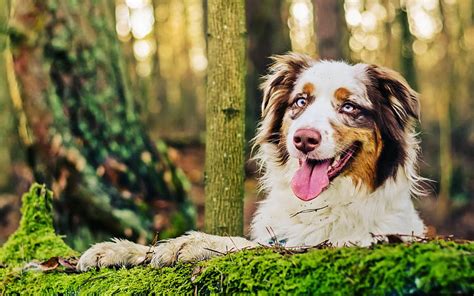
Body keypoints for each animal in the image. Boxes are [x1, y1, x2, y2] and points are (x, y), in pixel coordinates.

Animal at [78, 52, 426, 270]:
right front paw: (118, 249)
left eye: (350, 107)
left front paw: (192, 244)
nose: (303, 139)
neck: (320, 204)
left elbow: (254, 245)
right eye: (301, 101)